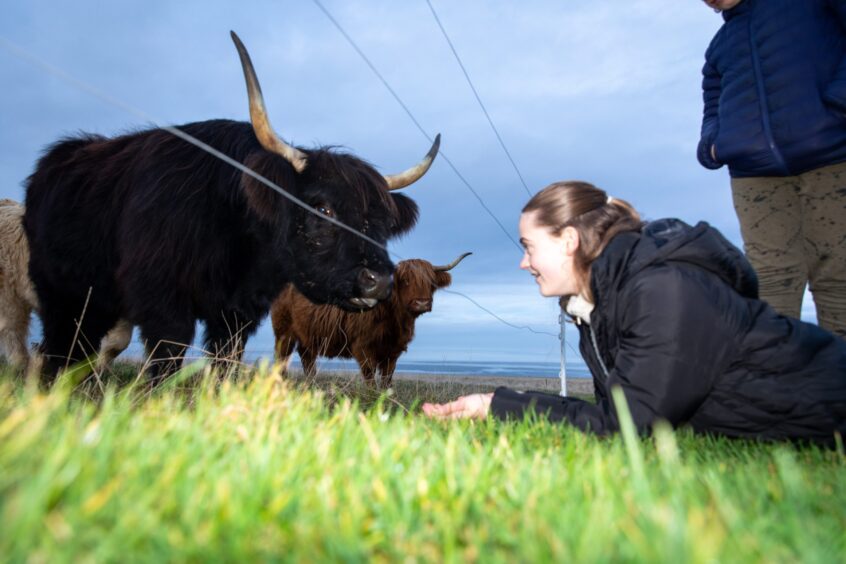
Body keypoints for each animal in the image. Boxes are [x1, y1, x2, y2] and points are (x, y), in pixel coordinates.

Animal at [23, 32, 440, 384]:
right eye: (323, 208)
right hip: (59, 290)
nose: (379, 281)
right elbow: (167, 360)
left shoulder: (236, 315)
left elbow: (224, 362)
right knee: (61, 346)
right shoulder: (163, 302)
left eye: (384, 223)